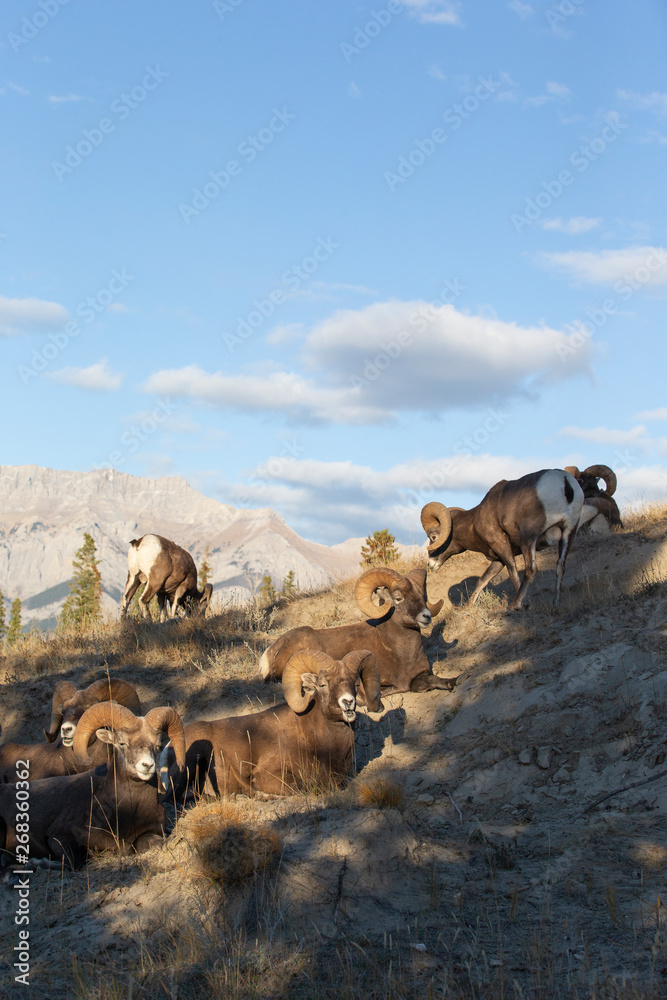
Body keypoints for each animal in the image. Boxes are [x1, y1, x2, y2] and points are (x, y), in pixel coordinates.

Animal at [0, 702, 185, 869]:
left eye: (157, 745)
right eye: (122, 743)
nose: (147, 765)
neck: (128, 810)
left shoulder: (148, 833)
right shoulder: (60, 836)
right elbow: (74, 863)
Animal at [259, 567, 458, 694]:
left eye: (423, 596)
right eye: (398, 598)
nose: (426, 616)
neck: (400, 652)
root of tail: (271, 651)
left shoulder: (419, 676)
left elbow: (432, 681)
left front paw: (452, 682)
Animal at [421, 468, 584, 610]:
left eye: (433, 537)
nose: (430, 564)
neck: (474, 522)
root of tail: (564, 481)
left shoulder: (502, 547)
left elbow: (513, 573)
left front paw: (525, 604)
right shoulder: (497, 559)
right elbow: (482, 580)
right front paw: (468, 607)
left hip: (528, 537)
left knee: (531, 569)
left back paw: (514, 605)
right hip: (568, 533)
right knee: (560, 566)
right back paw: (556, 602)